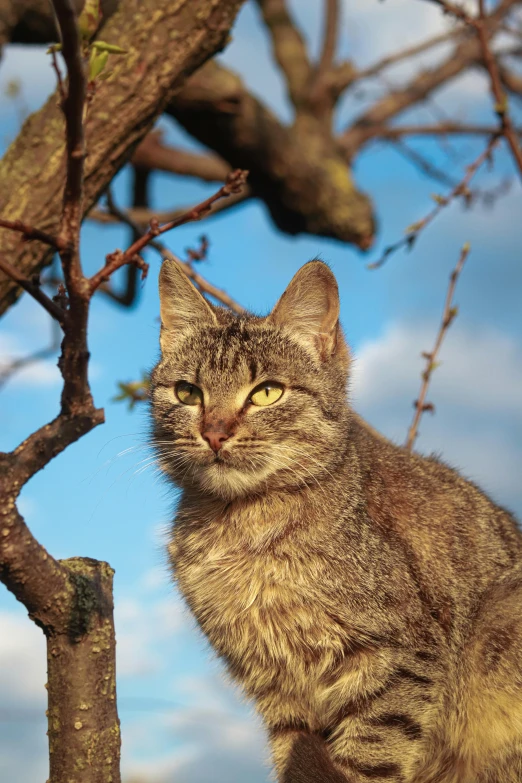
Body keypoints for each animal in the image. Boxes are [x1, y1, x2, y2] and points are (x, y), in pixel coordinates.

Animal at [148, 260, 520, 780]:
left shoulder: (401, 660)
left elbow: (367, 760)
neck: (239, 523)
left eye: (266, 393)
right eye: (187, 393)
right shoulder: (278, 691)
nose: (214, 433)